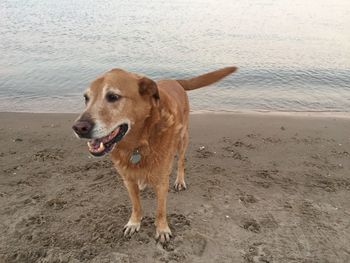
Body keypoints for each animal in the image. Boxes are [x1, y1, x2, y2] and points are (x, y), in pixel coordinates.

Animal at [73, 67, 238, 244]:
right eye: (86, 98)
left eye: (113, 97)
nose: (78, 128)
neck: (138, 144)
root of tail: (175, 81)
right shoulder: (128, 180)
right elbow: (136, 205)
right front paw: (134, 222)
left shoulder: (161, 182)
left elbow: (160, 209)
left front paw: (162, 228)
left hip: (182, 139)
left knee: (180, 162)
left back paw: (179, 180)